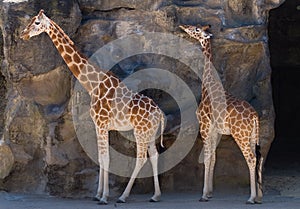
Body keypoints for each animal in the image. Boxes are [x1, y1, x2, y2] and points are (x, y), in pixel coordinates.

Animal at [180, 24, 262, 204]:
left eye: (196, 29)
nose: (184, 27)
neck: (208, 86)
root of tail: (254, 116)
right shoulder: (215, 131)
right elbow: (213, 158)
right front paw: (210, 192)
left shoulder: (204, 126)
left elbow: (206, 158)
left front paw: (204, 194)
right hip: (253, 135)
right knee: (258, 157)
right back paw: (260, 196)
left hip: (240, 135)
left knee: (251, 158)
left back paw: (251, 198)